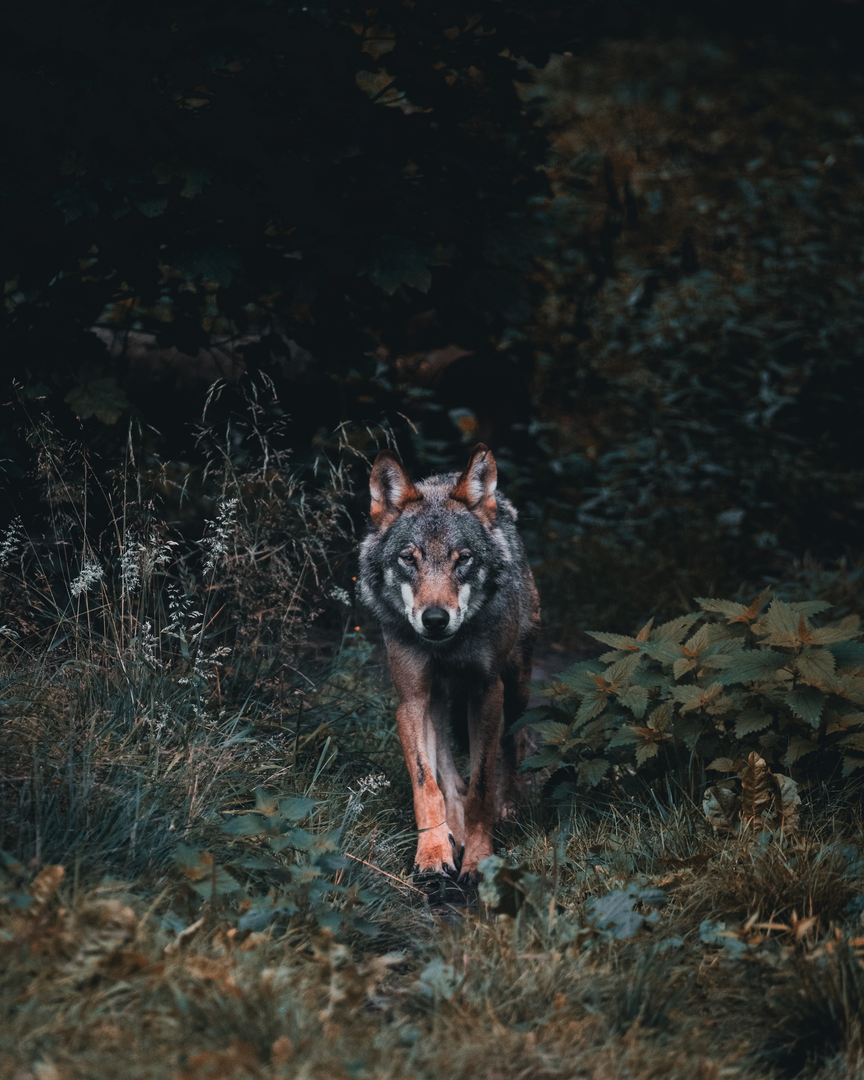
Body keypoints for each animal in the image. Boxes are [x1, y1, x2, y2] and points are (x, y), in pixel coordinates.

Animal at [358, 444, 540, 885]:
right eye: (409, 559)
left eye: (464, 559)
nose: (436, 619)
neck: (447, 647)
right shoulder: (411, 699)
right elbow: (428, 785)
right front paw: (433, 852)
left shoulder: (487, 692)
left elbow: (481, 785)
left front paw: (478, 858)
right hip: (437, 701)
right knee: (446, 771)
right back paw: (452, 832)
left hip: (517, 687)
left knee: (514, 743)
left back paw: (507, 807)